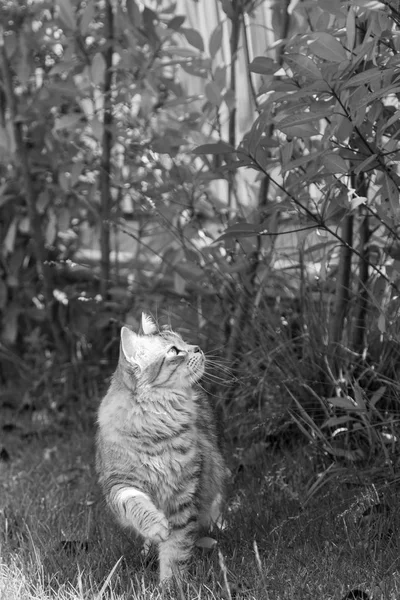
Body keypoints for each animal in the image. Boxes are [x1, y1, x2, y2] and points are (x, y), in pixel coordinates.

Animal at [94, 314, 225, 580]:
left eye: (184, 342)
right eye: (174, 351)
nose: (197, 348)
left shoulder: (183, 494)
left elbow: (177, 547)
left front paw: (172, 583)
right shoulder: (119, 483)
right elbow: (136, 504)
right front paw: (156, 527)